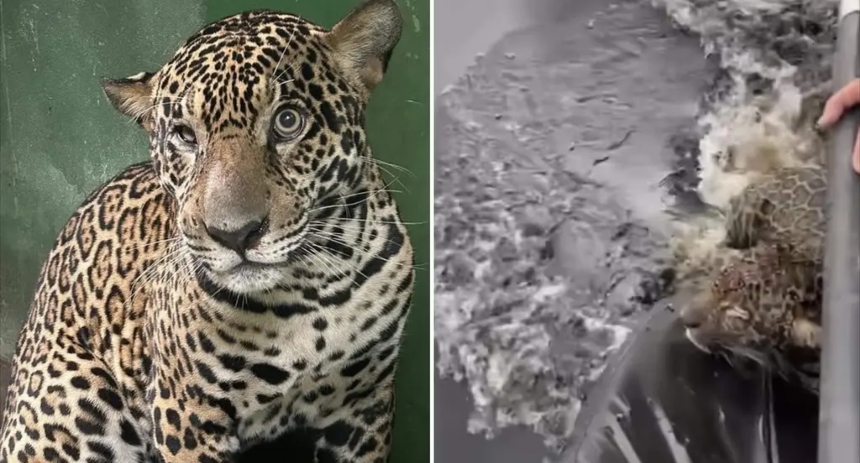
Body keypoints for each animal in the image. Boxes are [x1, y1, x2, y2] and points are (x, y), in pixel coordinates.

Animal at [0, 0, 415, 462]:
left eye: (288, 121)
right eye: (184, 136)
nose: (235, 235)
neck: (312, 293)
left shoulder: (364, 403)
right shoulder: (186, 410)